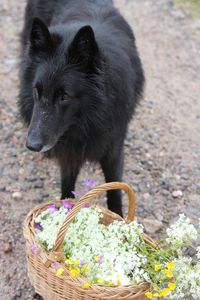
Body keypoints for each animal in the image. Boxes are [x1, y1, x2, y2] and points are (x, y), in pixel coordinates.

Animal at [18, 0, 145, 216]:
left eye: (64, 96)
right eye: (37, 90)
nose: (32, 145)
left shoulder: (113, 150)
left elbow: (115, 190)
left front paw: (119, 219)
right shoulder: (68, 151)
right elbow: (67, 187)